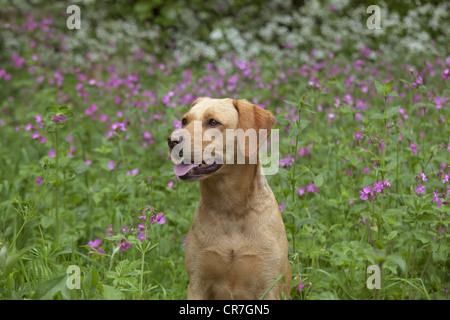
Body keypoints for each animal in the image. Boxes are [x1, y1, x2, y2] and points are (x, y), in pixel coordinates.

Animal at [168, 97, 292, 300]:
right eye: (184, 121)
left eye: (213, 122)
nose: (172, 140)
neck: (231, 210)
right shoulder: (197, 283)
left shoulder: (270, 285)